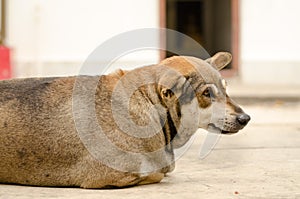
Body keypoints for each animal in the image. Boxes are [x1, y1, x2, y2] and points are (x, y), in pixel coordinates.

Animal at [0, 51, 250, 188]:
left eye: (225, 89)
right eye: (206, 94)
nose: (245, 118)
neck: (149, 102)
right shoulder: (109, 177)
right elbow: (158, 173)